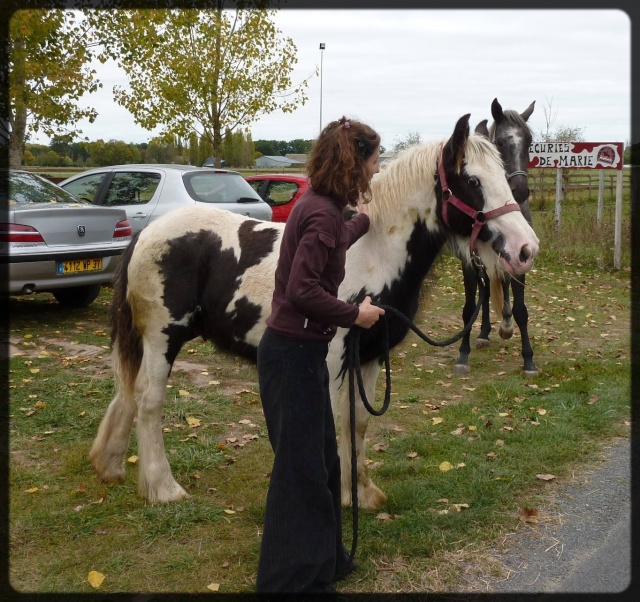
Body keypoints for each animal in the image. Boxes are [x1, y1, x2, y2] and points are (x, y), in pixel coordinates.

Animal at [452, 98, 536, 376]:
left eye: (529, 141)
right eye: (499, 142)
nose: (520, 190)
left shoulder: (521, 258)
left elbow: (521, 309)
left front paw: (528, 360)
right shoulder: (469, 262)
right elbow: (470, 308)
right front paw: (463, 355)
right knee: (486, 291)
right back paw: (485, 333)